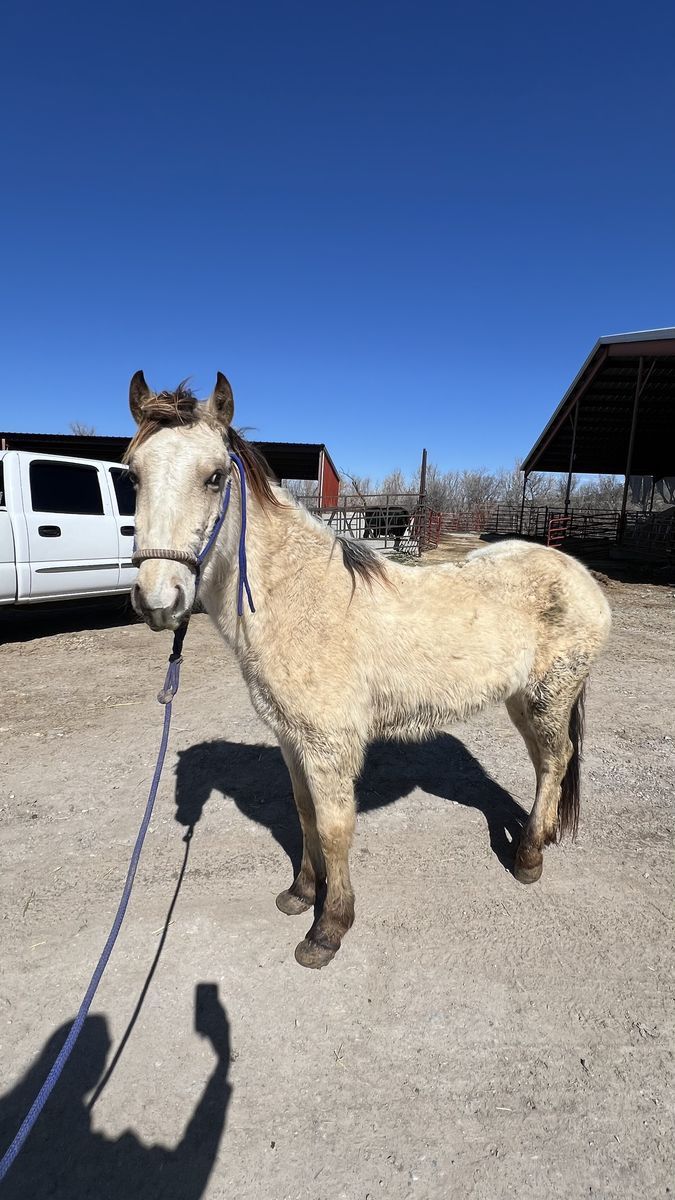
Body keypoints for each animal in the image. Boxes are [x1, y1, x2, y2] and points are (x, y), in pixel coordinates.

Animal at [126, 372, 612, 970]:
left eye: (215, 477)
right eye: (132, 474)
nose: (158, 599)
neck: (300, 597)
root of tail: (578, 573)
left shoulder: (329, 745)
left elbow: (335, 830)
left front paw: (328, 929)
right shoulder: (293, 740)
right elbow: (304, 814)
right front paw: (301, 893)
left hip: (550, 696)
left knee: (555, 761)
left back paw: (528, 859)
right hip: (522, 700)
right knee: (547, 764)